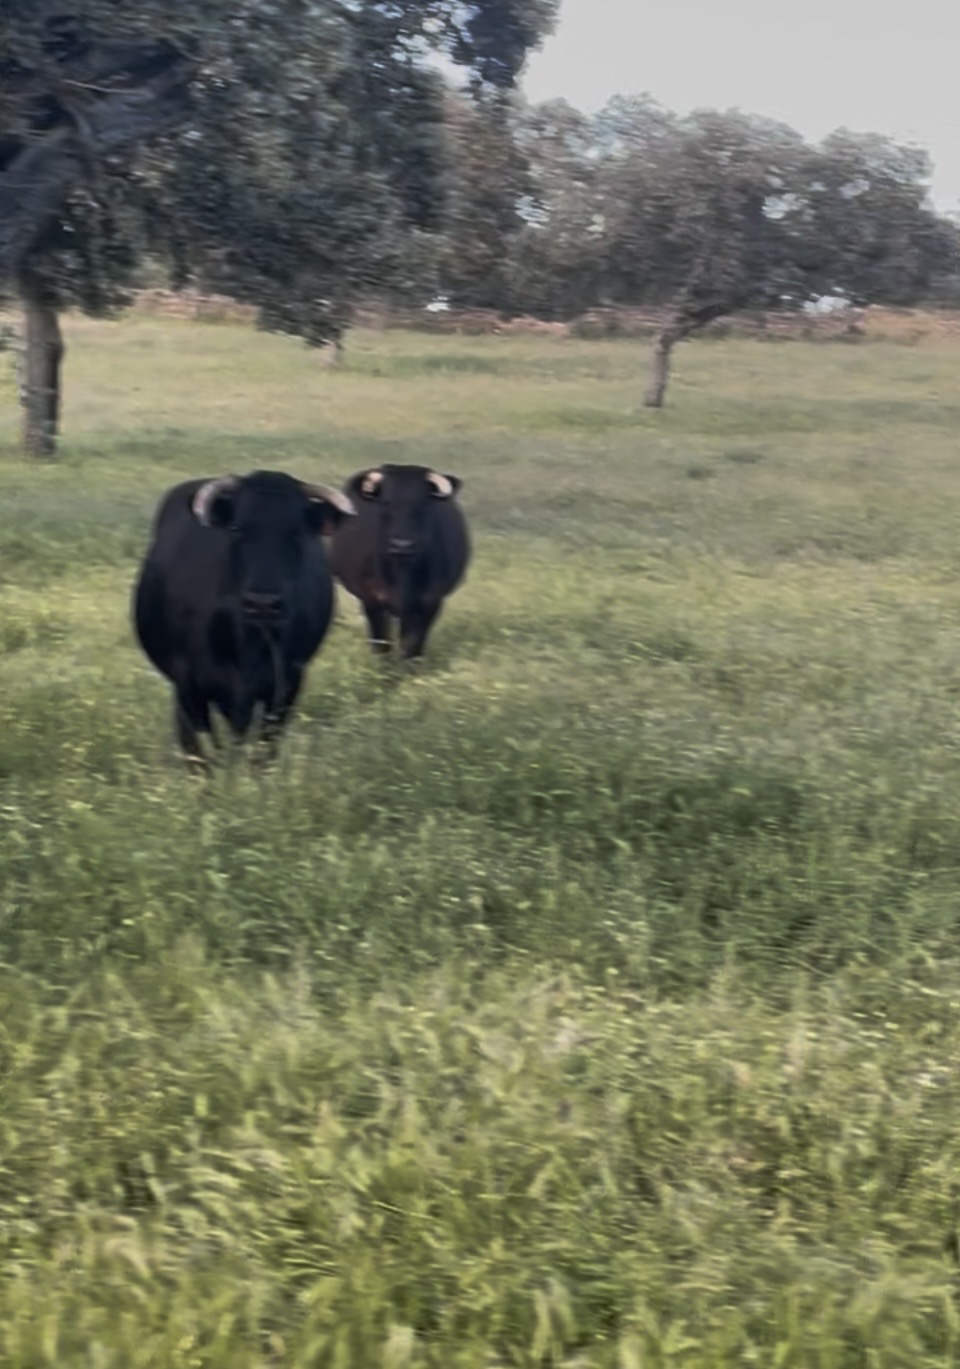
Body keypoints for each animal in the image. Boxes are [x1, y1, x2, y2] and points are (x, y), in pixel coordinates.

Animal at [133, 470, 354, 762]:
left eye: (297, 534)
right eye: (238, 530)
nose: (263, 604)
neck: (247, 642)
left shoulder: (286, 685)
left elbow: (263, 749)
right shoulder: (188, 685)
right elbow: (201, 751)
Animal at [328, 463, 470, 659]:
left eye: (423, 504)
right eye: (386, 503)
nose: (402, 545)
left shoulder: (430, 601)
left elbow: (413, 643)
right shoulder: (372, 599)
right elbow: (381, 641)